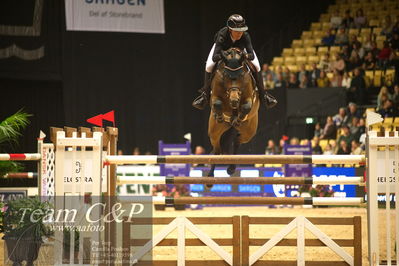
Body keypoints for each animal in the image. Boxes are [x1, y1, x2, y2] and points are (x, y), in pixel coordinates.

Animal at [208, 47, 260, 185]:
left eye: (241, 75)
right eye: (226, 76)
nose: (234, 100)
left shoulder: (249, 96)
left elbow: (247, 106)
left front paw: (238, 117)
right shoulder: (215, 95)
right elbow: (217, 103)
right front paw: (221, 116)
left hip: (248, 132)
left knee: (237, 141)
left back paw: (231, 168)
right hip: (214, 132)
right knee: (217, 150)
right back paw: (210, 177)